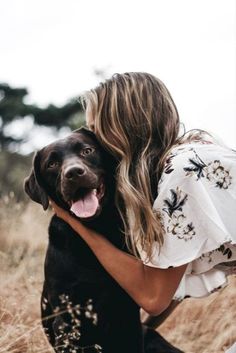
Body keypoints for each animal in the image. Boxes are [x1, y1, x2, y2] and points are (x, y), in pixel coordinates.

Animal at [24, 128, 183, 350]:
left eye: (87, 151)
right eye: (52, 164)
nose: (73, 173)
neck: (97, 228)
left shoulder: (128, 315)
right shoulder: (66, 319)